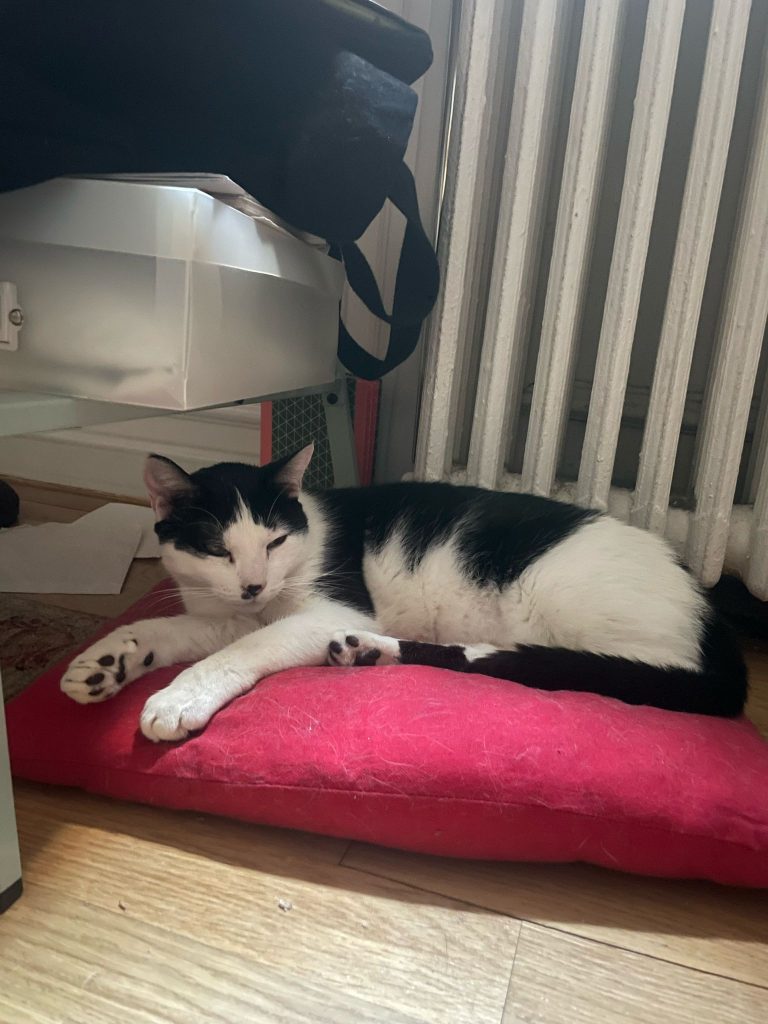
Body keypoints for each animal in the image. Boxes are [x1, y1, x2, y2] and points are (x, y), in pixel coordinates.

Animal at [61, 443, 748, 741]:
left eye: (275, 540)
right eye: (217, 549)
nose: (254, 583)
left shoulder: (327, 605)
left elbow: (237, 653)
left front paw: (180, 698)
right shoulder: (233, 612)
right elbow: (175, 632)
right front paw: (107, 660)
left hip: (572, 603)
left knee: (538, 663)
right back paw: (367, 650)